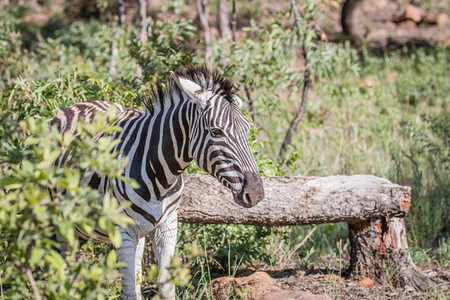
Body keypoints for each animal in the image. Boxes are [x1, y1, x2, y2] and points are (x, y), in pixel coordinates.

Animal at [51, 67, 266, 300]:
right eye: (216, 131)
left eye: (247, 131)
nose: (256, 193)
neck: (160, 178)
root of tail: (79, 104)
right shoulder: (123, 231)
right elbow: (129, 293)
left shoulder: (167, 226)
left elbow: (165, 286)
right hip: (63, 227)